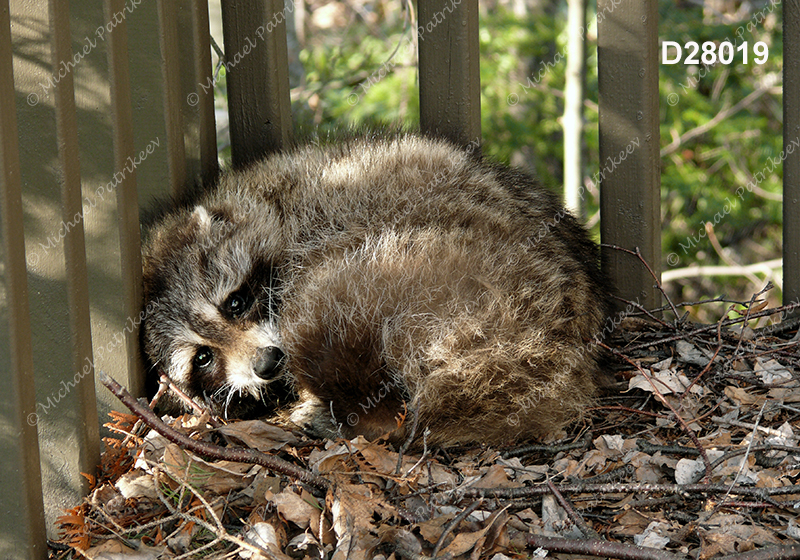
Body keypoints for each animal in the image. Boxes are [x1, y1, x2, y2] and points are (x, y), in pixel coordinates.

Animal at [141, 132, 608, 446]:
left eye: (235, 302)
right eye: (203, 358)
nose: (267, 363)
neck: (266, 206)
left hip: (446, 283)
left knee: (320, 312)